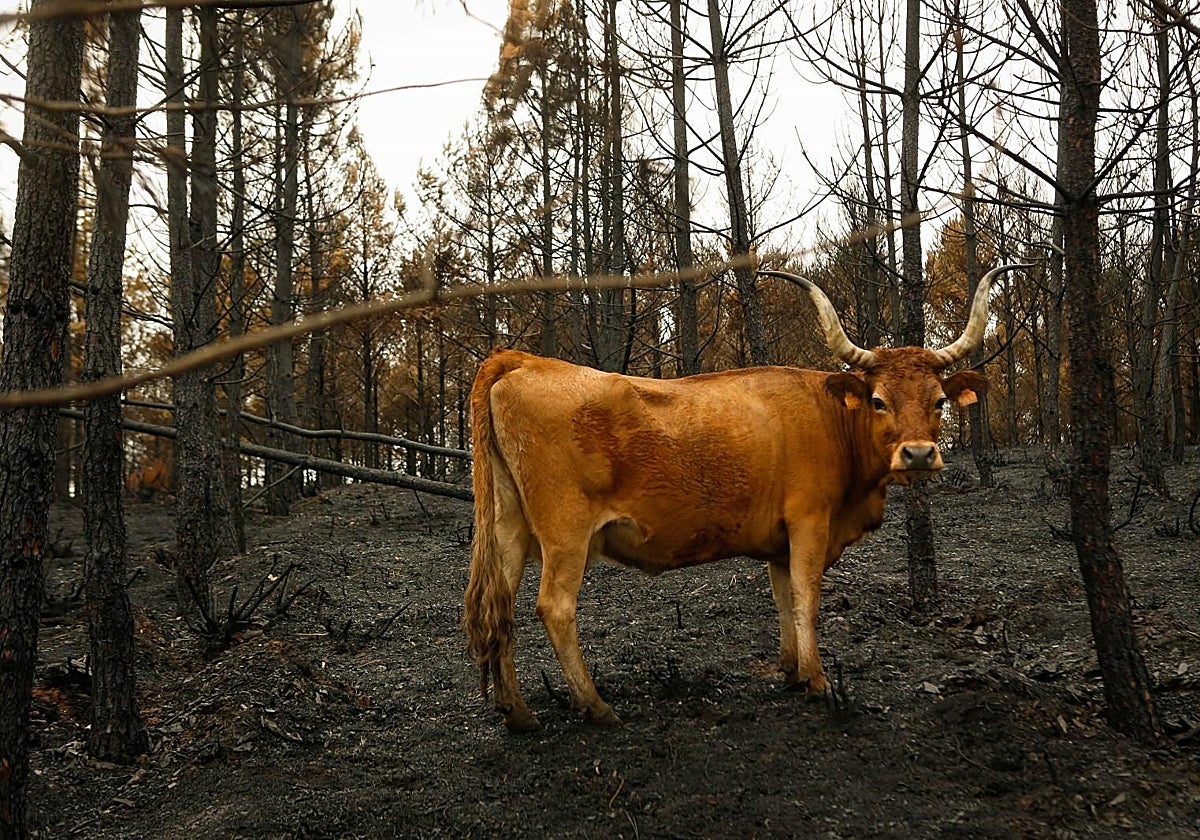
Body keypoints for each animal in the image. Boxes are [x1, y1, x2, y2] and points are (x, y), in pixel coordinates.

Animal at [464, 263, 1029, 731]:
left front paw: (792, 670)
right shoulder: (809, 523)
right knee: (554, 607)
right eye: (877, 400)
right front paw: (818, 681)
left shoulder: (780, 542)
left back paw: (517, 712)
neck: (830, 418)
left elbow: (783, 598)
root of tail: (523, 360)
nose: (918, 454)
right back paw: (596, 706)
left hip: (509, 528)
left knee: (501, 607)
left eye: (939, 401)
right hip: (565, 533)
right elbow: (806, 597)